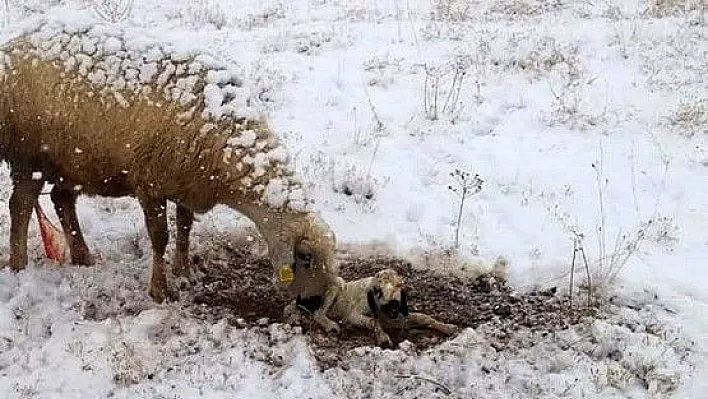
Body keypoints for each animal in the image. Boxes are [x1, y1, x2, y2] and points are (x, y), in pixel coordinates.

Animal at [0, 17, 342, 330]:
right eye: (305, 258)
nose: (314, 304)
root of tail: (11, 47)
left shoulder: (187, 183)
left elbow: (186, 226)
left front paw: (184, 270)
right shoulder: (150, 183)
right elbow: (160, 236)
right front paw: (160, 291)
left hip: (74, 159)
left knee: (62, 200)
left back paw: (83, 257)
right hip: (29, 155)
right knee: (21, 206)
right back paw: (19, 266)